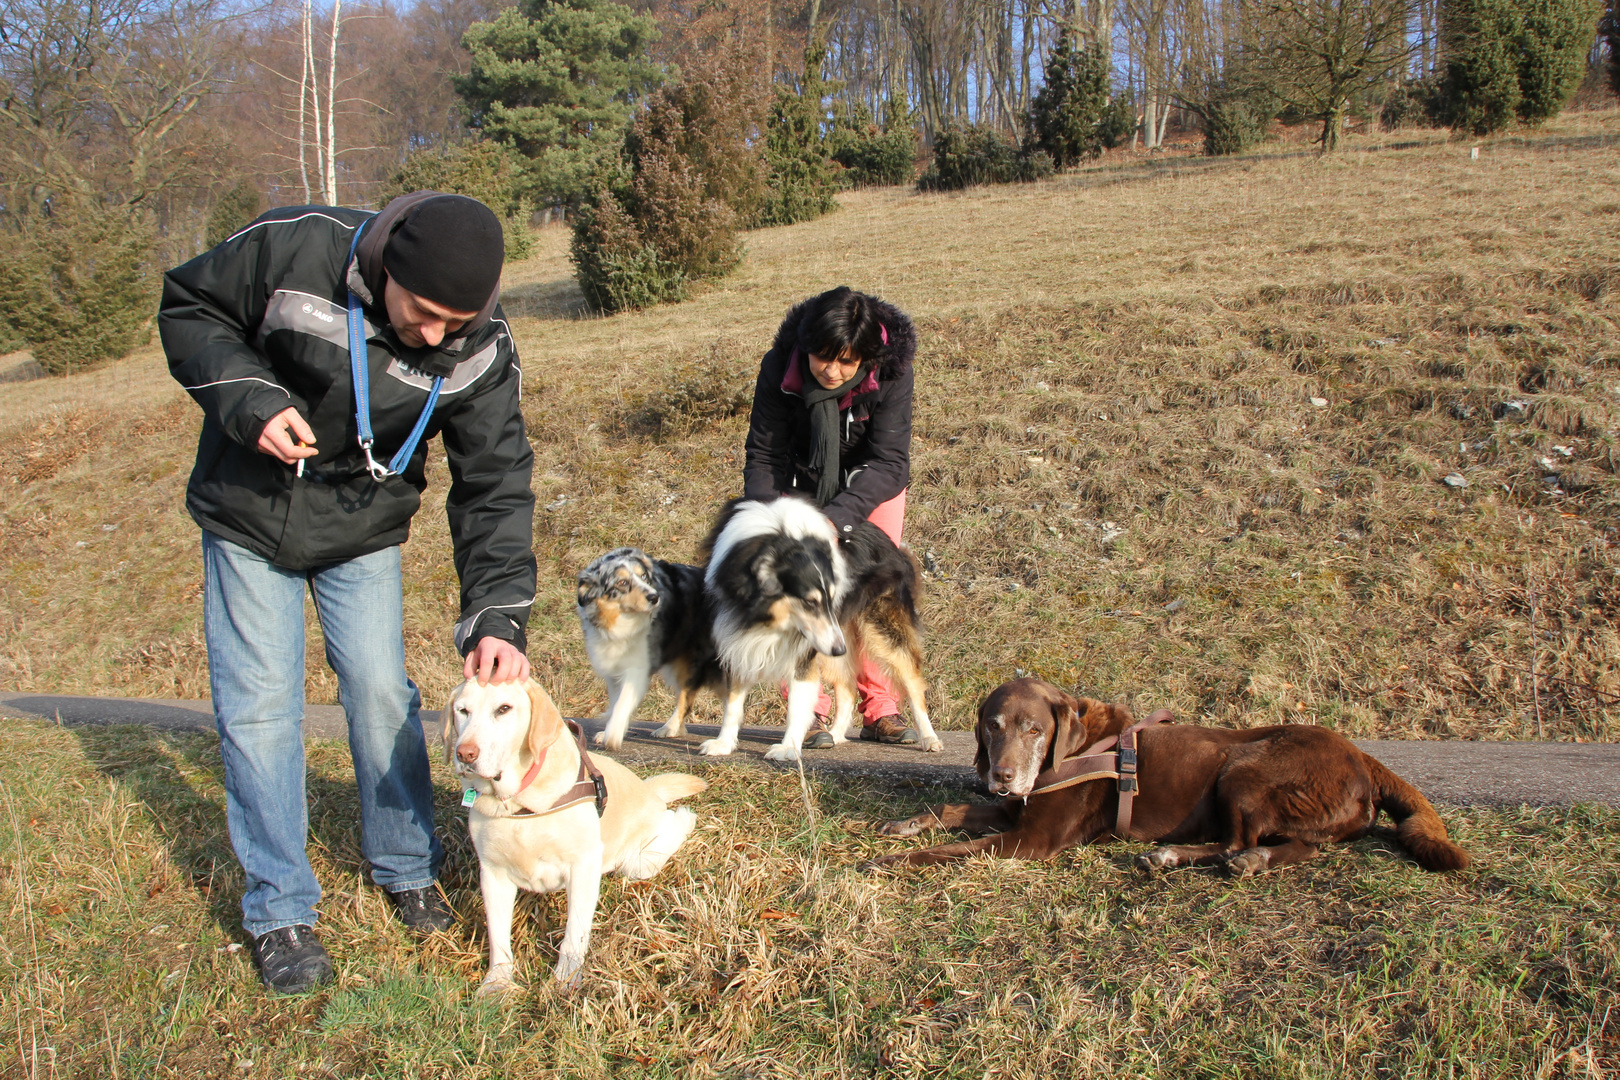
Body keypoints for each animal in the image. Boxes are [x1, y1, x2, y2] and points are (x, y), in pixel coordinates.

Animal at [440, 680, 706, 990]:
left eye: (504, 709)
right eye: (462, 711)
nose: (465, 753)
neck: (516, 804)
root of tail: (647, 789)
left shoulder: (582, 866)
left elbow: (573, 933)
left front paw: (565, 979)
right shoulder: (493, 875)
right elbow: (498, 936)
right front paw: (497, 982)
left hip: (638, 861)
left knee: (667, 827)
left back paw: (685, 817)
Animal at [576, 550, 741, 751]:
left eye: (643, 577)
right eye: (622, 582)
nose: (654, 597)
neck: (621, 621)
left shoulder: (637, 668)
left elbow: (623, 702)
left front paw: (613, 735)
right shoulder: (614, 669)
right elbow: (615, 702)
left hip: (693, 663)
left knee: (687, 699)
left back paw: (670, 727)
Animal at [696, 495, 939, 761]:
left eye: (831, 599)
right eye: (809, 602)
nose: (839, 649)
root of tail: (897, 548)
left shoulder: (805, 649)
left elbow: (797, 704)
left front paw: (788, 748)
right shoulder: (736, 636)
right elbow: (733, 701)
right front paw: (723, 743)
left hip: (879, 631)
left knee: (913, 683)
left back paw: (929, 738)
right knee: (848, 687)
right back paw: (834, 734)